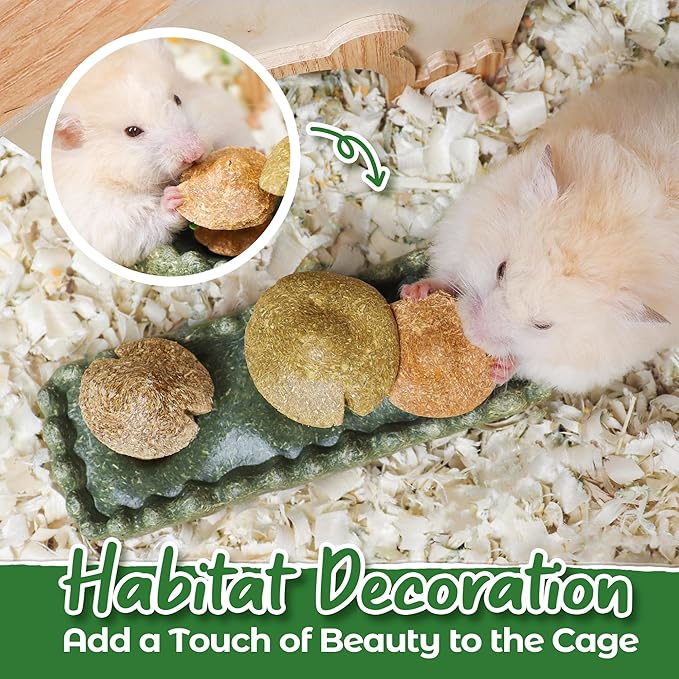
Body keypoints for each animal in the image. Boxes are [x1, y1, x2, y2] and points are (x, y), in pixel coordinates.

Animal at [51, 40, 255, 266]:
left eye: (177, 99)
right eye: (132, 131)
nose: (194, 153)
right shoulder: (107, 218)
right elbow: (142, 219)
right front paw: (174, 197)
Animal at [402, 66, 679, 394]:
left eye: (543, 325)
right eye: (501, 269)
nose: (473, 334)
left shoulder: (577, 365)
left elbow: (529, 361)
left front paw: (498, 371)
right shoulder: (462, 226)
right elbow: (447, 272)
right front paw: (415, 292)